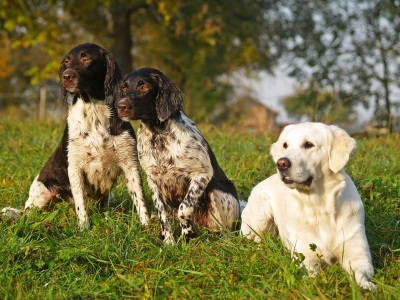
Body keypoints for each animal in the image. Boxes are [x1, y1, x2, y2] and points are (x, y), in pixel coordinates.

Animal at [1, 42, 148, 230]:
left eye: (86, 59)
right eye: (67, 61)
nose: (66, 76)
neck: (93, 112)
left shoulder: (130, 163)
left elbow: (140, 201)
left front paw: (147, 226)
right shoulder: (75, 167)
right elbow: (81, 205)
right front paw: (84, 229)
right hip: (41, 193)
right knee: (29, 213)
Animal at [117, 67, 239, 244]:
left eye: (144, 87)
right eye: (124, 87)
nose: (121, 106)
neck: (158, 134)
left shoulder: (202, 174)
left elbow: (185, 208)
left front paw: (188, 233)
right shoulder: (153, 179)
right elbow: (163, 215)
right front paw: (169, 242)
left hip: (218, 192)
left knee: (225, 230)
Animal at [241, 122, 376, 290]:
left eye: (308, 144)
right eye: (285, 145)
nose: (281, 163)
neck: (319, 206)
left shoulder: (358, 253)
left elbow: (361, 273)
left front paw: (366, 286)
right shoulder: (306, 256)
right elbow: (311, 278)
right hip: (260, 213)